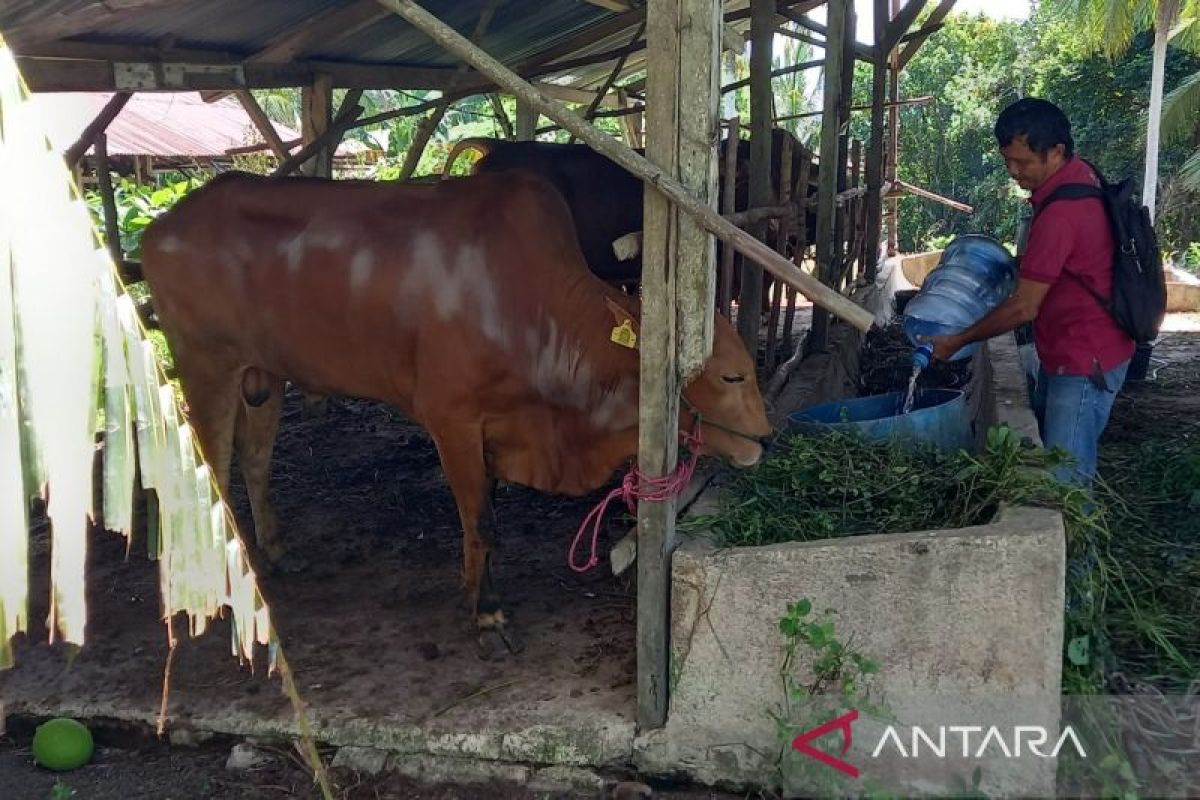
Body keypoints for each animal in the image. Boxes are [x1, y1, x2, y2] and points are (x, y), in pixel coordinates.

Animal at [140, 172, 768, 652]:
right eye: (731, 375)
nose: (764, 439)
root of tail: (160, 227)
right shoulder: (453, 421)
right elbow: (481, 520)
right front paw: (486, 613)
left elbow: (483, 520)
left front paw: (477, 592)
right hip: (206, 366)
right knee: (214, 470)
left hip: (262, 375)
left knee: (255, 460)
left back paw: (273, 552)